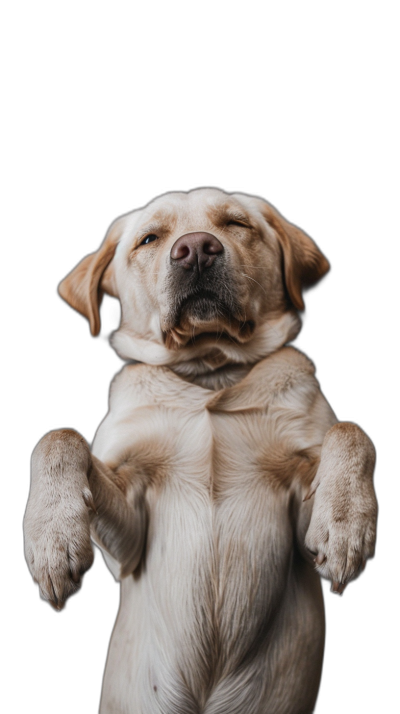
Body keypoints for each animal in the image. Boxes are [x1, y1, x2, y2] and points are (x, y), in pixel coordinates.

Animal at [23, 189, 376, 712]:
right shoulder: (128, 544)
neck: (211, 376)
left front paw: (347, 523)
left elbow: (351, 432)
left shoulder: (299, 521)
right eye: (150, 238)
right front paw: (51, 539)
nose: (195, 250)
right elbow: (59, 437)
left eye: (237, 223)